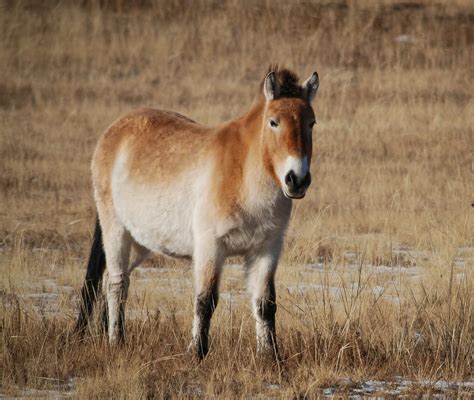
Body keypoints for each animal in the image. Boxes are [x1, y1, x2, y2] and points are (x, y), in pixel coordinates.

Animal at [75, 66, 318, 360]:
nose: (297, 180)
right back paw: (116, 341)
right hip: (115, 230)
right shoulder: (210, 247)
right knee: (116, 283)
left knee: (111, 282)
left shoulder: (266, 249)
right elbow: (206, 300)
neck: (243, 173)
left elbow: (265, 304)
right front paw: (197, 354)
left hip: (139, 242)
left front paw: (270, 357)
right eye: (273, 122)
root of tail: (114, 130)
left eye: (311, 123)